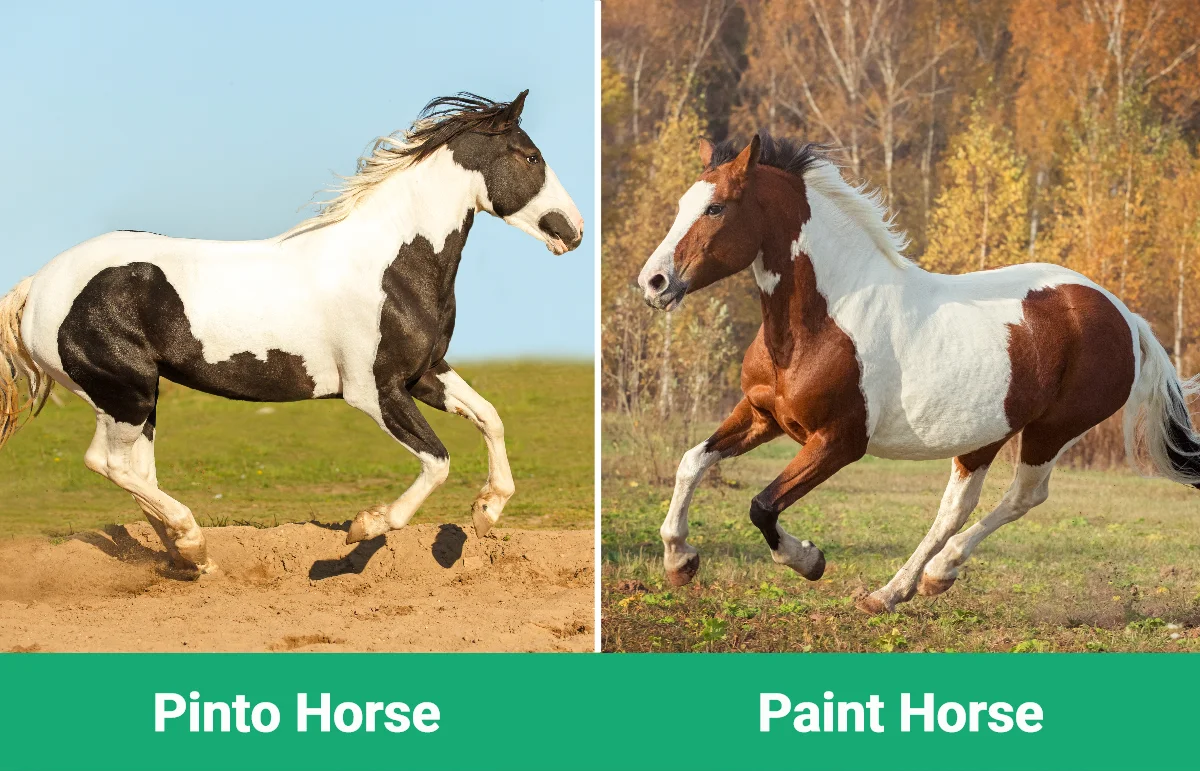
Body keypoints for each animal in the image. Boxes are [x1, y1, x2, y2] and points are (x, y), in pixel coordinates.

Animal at [0, 90, 584, 575]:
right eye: (531, 157)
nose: (573, 231)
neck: (391, 266)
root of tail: (39, 284)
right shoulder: (374, 391)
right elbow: (437, 462)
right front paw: (364, 526)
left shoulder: (424, 374)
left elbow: (491, 417)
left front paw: (486, 512)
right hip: (126, 393)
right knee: (109, 464)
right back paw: (193, 542)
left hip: (138, 399)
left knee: (139, 474)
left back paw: (188, 556)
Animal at [635, 131, 1200, 614]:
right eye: (683, 204)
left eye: (715, 207)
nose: (653, 282)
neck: (824, 318)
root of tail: (1124, 315)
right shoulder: (762, 415)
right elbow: (692, 461)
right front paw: (680, 562)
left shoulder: (838, 442)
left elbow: (762, 506)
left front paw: (810, 561)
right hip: (984, 435)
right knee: (957, 507)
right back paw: (899, 590)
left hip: (1051, 430)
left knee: (1022, 496)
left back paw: (931, 575)